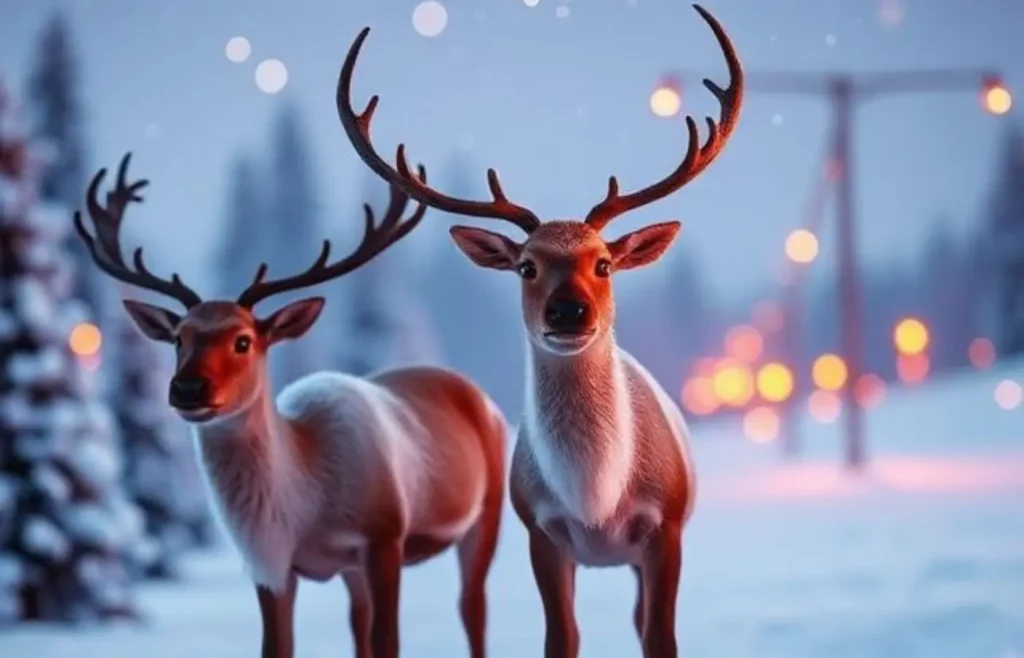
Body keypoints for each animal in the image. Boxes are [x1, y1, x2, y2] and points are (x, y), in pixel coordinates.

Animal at [73, 154, 509, 658]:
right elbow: (277, 646)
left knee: (472, 608)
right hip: (353, 572)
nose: (187, 388)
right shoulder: (270, 567)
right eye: (179, 338)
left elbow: (390, 642)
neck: (300, 509)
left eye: (243, 340)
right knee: (360, 625)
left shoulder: (385, 536)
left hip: (485, 511)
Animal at [334, 4, 742, 656]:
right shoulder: (541, 532)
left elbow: (660, 637)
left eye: (604, 263)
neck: (595, 501)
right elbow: (561, 638)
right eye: (526, 265)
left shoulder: (667, 526)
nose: (568, 312)